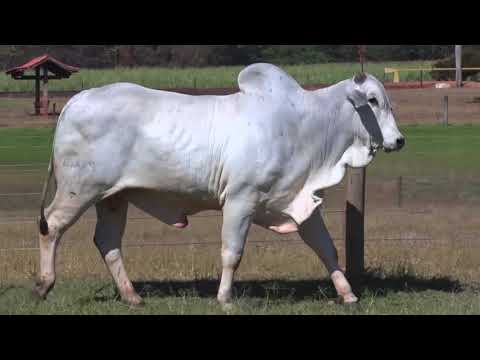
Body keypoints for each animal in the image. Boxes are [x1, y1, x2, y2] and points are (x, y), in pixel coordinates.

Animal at [33, 63, 404, 308]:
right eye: (372, 100)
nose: (399, 140)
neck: (306, 126)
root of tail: (76, 100)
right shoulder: (241, 200)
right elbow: (232, 252)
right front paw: (225, 298)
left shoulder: (299, 201)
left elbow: (327, 249)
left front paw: (348, 293)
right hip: (79, 189)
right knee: (52, 226)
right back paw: (44, 285)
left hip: (113, 197)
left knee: (107, 242)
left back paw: (132, 295)